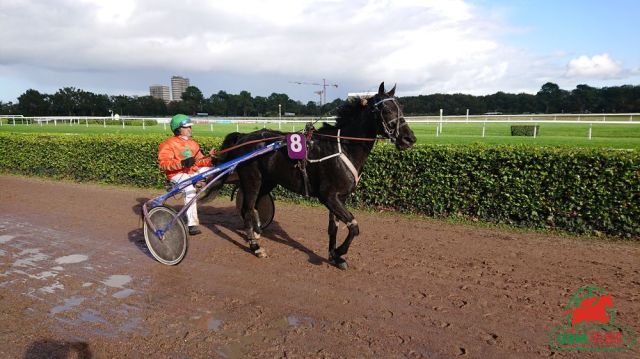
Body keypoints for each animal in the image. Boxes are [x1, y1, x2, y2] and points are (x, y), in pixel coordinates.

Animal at [214, 82, 416, 270]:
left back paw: (255, 232)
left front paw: (334, 256)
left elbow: (334, 228)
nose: (410, 139)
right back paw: (256, 247)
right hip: (252, 180)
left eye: (401, 108)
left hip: (268, 181)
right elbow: (354, 226)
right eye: (386, 110)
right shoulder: (328, 196)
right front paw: (340, 252)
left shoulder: (339, 197)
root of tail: (243, 137)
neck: (343, 147)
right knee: (248, 208)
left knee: (253, 206)